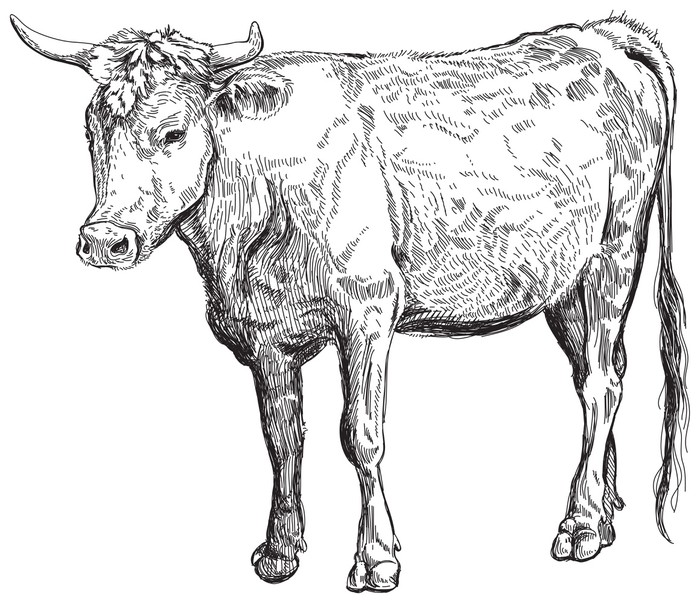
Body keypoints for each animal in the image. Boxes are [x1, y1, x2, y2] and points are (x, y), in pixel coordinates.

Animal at [11, 14, 688, 592]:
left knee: (599, 383)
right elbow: (282, 436)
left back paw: (579, 525)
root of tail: (603, 33)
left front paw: (377, 558)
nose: (104, 240)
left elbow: (361, 434)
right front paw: (280, 548)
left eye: (174, 131)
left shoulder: (368, 306)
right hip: (561, 284)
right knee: (606, 371)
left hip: (614, 252)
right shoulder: (264, 334)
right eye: (92, 130)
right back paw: (605, 510)